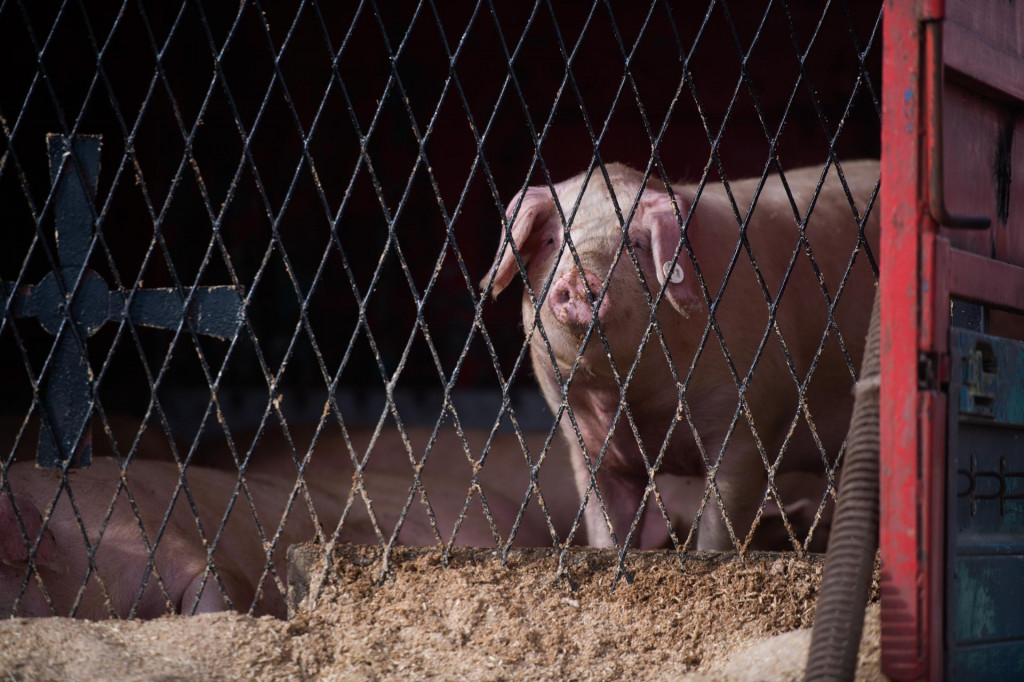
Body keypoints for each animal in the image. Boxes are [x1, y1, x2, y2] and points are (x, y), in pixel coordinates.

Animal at [481, 161, 880, 548]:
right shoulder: (588, 445)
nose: (582, 279)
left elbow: (720, 529)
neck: (627, 400)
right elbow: (605, 528)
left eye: (638, 243)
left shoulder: (750, 418)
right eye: (552, 240)